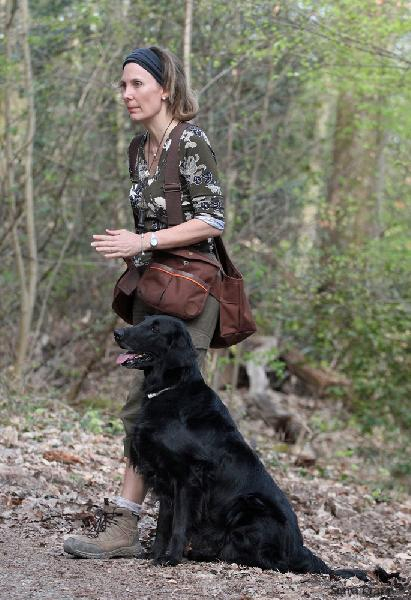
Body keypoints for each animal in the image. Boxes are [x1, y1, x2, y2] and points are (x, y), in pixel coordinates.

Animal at [114, 315, 380, 580]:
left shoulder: (188, 478)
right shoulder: (164, 478)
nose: (117, 333)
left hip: (251, 506)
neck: (171, 389)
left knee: (272, 562)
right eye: (143, 320)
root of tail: (298, 548)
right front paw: (155, 554)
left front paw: (171, 558)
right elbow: (163, 525)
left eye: (155, 328)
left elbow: (179, 523)